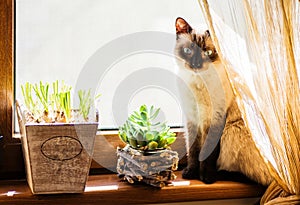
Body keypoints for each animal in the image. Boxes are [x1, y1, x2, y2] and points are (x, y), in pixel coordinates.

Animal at [175, 16, 274, 185]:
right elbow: (193, 151)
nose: (196, 65)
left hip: (230, 131)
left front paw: (206, 177)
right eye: (188, 51)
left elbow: (207, 152)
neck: (199, 83)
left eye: (208, 52)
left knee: (256, 178)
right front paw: (191, 173)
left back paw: (218, 174)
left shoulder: (215, 118)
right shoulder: (192, 119)